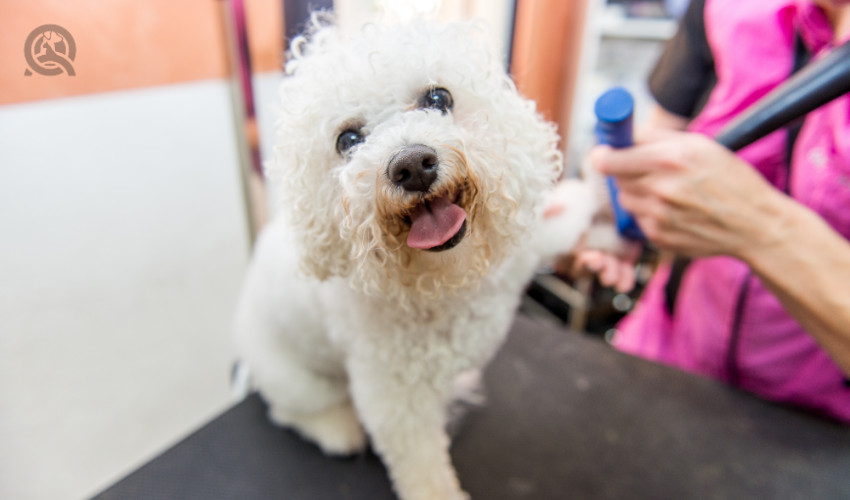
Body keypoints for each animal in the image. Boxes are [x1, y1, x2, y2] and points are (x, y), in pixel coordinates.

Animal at [235, 14, 600, 500]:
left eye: (438, 98)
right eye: (348, 139)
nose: (411, 165)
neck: (443, 281)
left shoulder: (518, 257)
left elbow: (560, 225)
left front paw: (595, 194)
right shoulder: (395, 398)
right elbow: (423, 469)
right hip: (293, 379)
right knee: (291, 411)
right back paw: (336, 430)